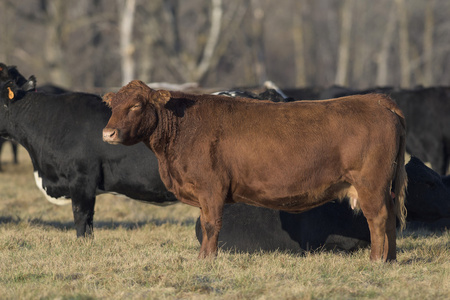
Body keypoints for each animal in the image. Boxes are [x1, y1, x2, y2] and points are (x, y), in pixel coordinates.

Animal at [103, 81, 408, 262]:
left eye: (136, 105)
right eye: (112, 105)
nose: (108, 133)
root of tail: (377, 99)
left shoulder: (211, 188)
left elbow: (211, 225)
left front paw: (207, 259)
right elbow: (205, 223)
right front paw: (203, 257)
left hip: (370, 184)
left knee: (378, 219)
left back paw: (376, 260)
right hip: (383, 187)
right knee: (390, 218)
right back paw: (390, 259)